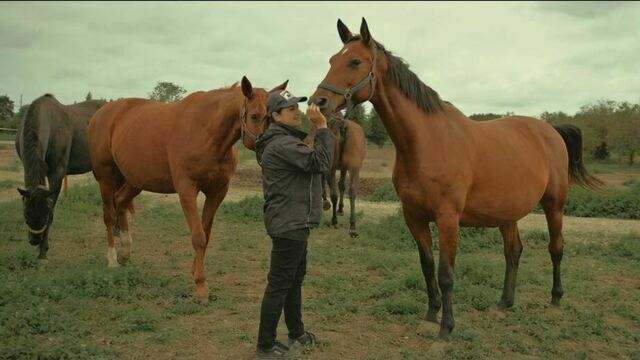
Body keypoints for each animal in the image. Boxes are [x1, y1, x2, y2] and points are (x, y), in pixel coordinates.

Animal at [15, 93, 106, 258]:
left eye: (44, 215)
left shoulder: (57, 174)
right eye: (26, 214)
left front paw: (43, 251)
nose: (34, 241)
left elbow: (53, 212)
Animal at [88, 77, 288, 300]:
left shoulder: (217, 192)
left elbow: (205, 233)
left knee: (121, 202)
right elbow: (198, 236)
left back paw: (125, 252)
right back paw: (113, 258)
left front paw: (195, 272)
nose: (271, 146)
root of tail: (101, 113)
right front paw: (201, 286)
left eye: (273, 116)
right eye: (254, 116)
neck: (206, 132)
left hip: (135, 180)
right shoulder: (186, 190)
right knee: (108, 214)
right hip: (105, 176)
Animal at [310, 19, 604, 340]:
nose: (318, 102)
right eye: (331, 60)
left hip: (554, 205)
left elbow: (446, 273)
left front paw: (445, 330)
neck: (426, 141)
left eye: (355, 61)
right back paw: (504, 304)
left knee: (556, 248)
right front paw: (430, 316)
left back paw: (555, 301)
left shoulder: (449, 219)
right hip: (507, 214)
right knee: (513, 252)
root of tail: (550, 130)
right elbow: (427, 266)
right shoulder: (414, 217)